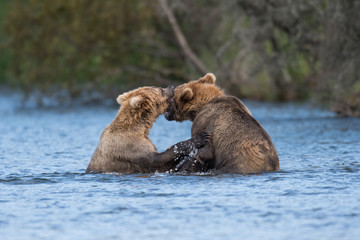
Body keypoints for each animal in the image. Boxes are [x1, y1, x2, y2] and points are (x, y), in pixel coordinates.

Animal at [86, 73, 280, 174]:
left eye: (174, 96)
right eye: (165, 93)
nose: (170, 86)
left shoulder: (205, 120)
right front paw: (196, 142)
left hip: (238, 161)